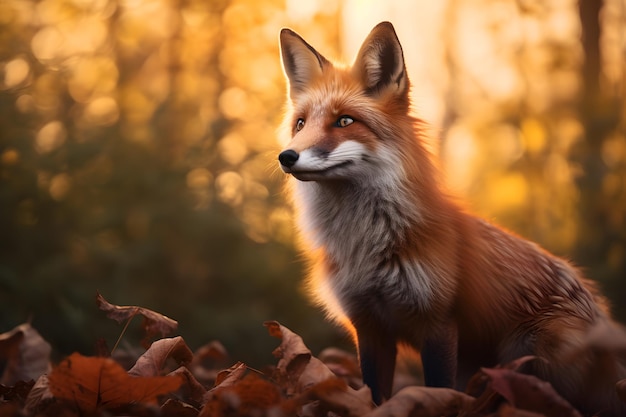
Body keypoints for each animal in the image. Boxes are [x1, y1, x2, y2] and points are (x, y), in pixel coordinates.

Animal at [276, 21, 620, 414]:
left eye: (344, 121)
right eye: (301, 124)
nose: (286, 157)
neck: (366, 245)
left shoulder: (438, 321)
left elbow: (437, 388)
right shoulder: (369, 324)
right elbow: (375, 394)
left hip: (535, 349)